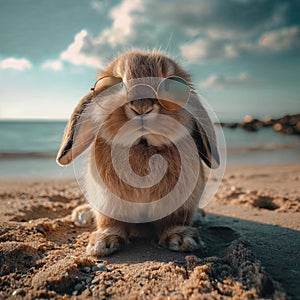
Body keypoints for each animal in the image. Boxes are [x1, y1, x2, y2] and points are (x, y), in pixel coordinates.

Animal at [56, 49, 220, 255]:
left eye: (171, 84)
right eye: (117, 84)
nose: (142, 107)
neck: (143, 145)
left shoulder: (179, 206)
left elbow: (173, 222)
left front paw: (183, 239)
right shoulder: (108, 204)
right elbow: (110, 223)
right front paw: (102, 243)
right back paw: (82, 215)